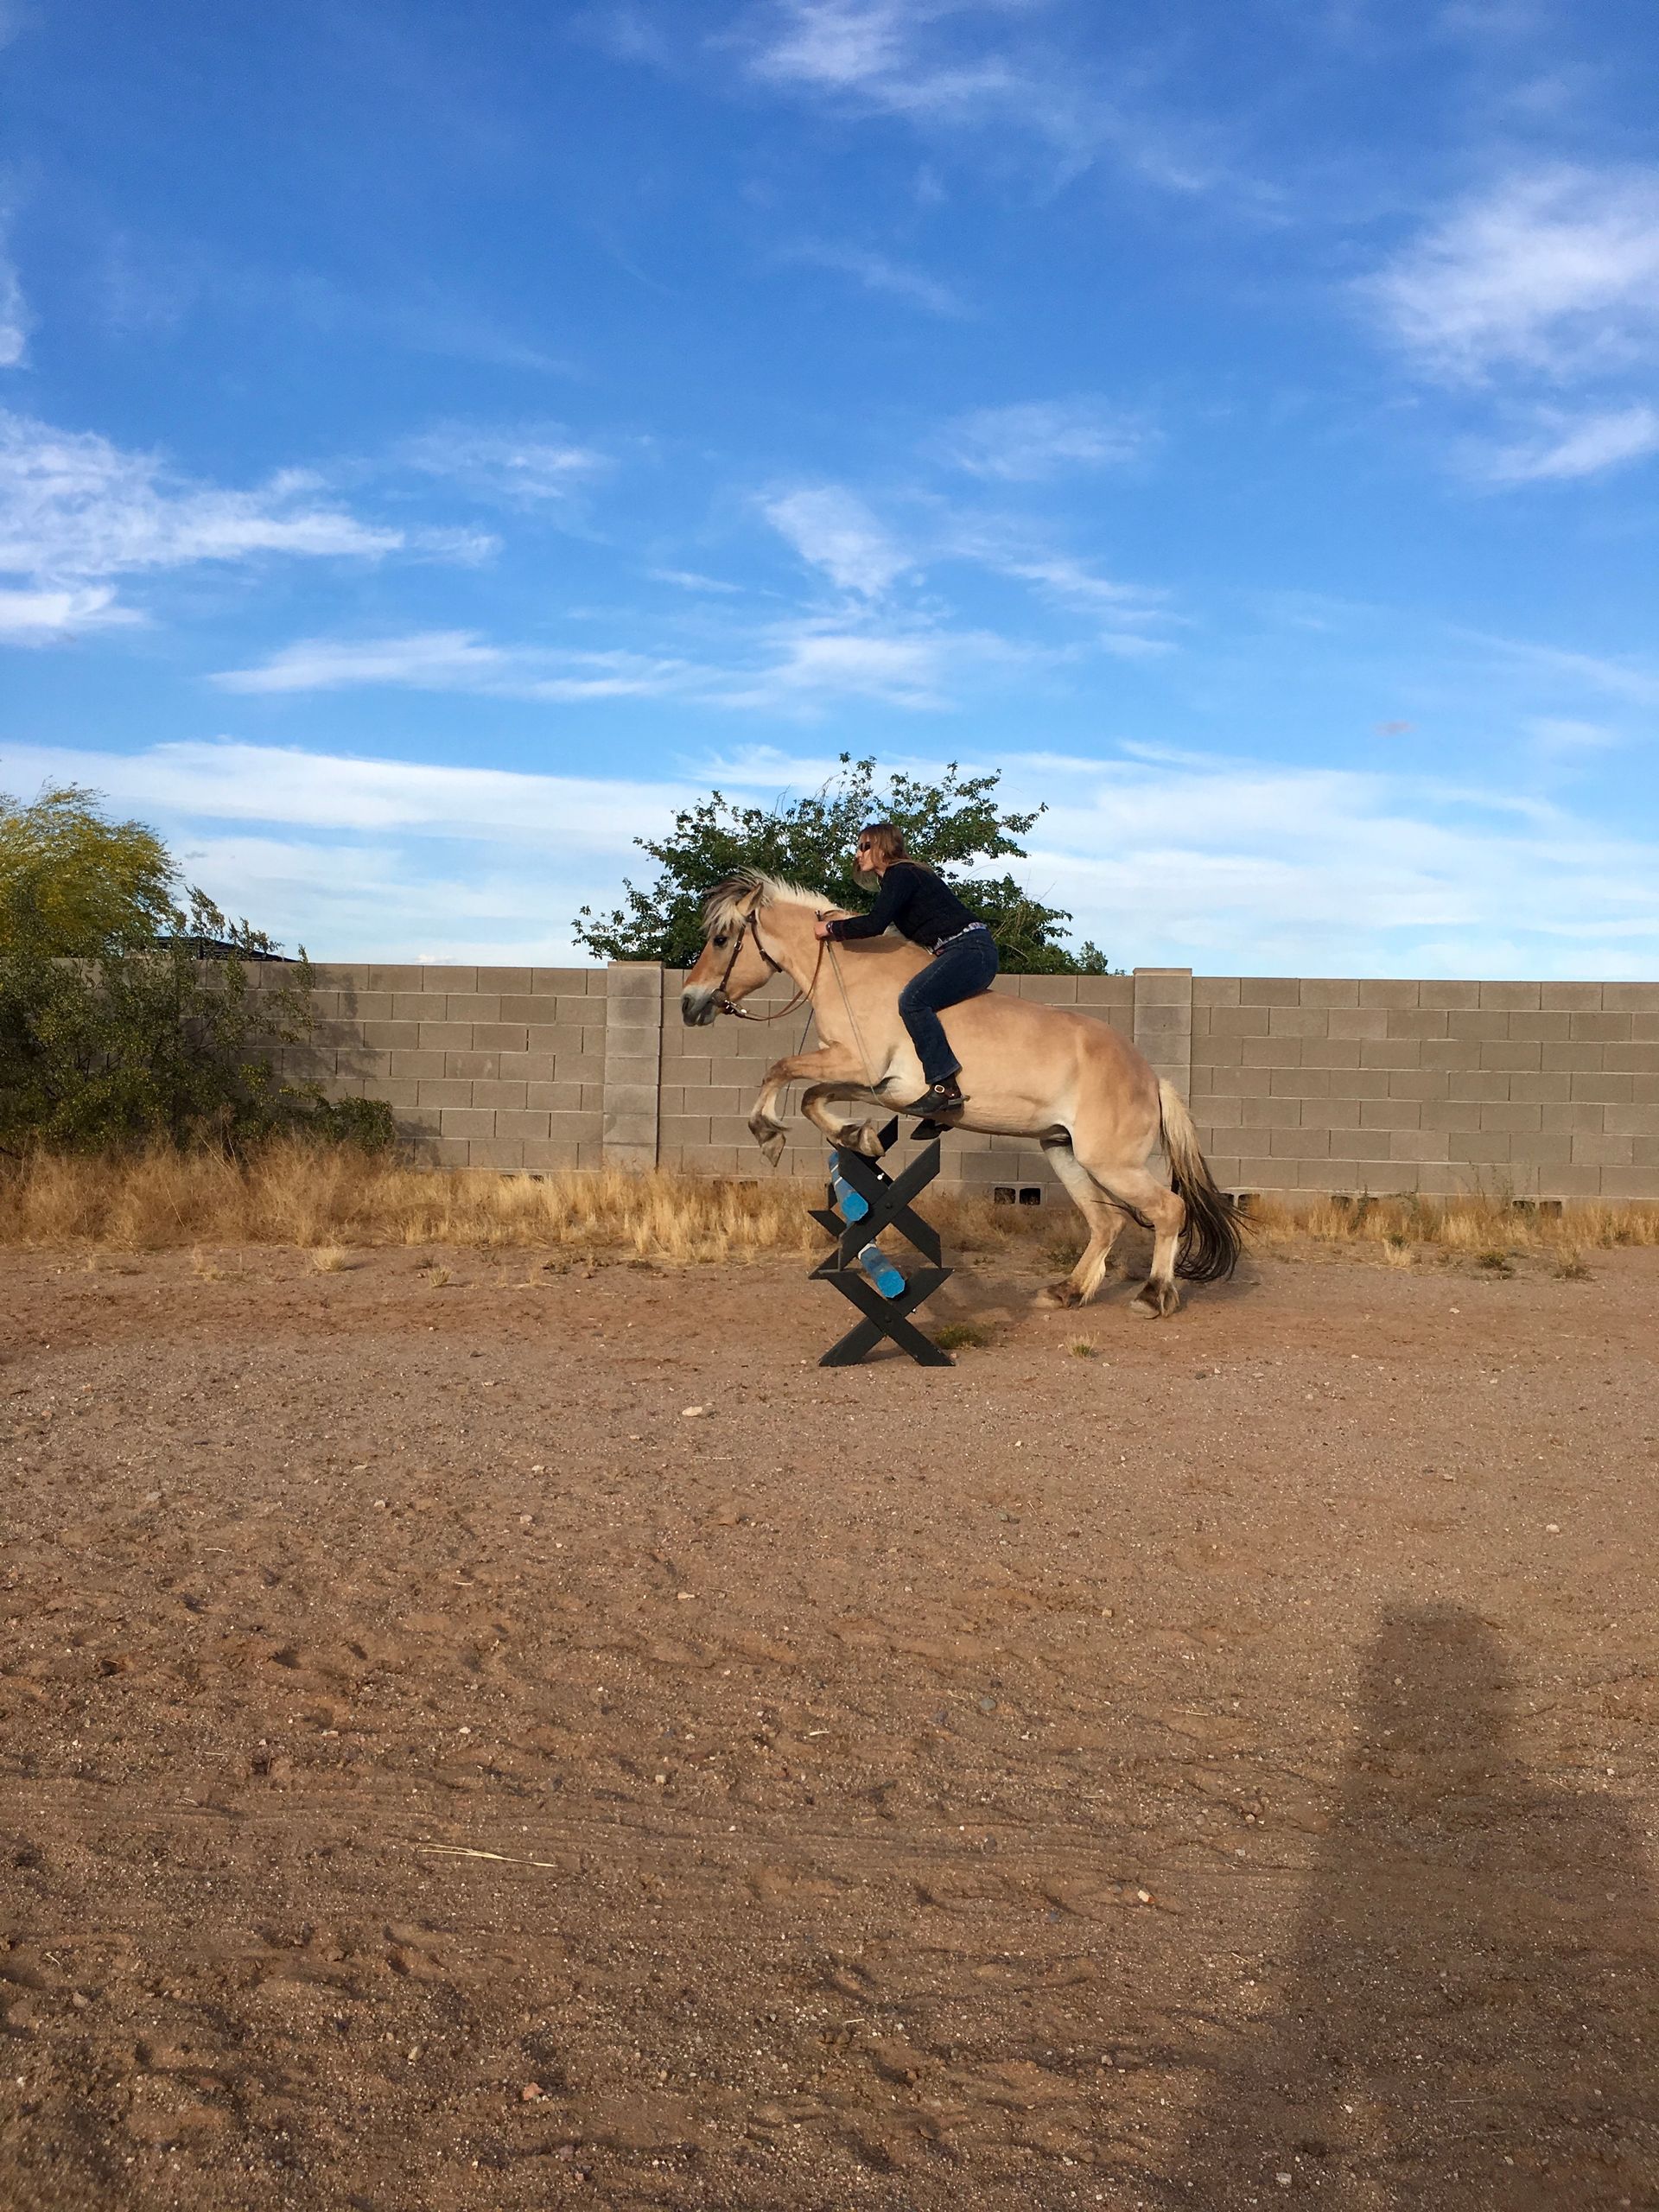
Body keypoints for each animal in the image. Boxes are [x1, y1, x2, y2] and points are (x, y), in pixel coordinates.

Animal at [680, 870, 1242, 1317]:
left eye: (723, 939)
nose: (690, 1004)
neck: (852, 976)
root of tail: (1151, 1078)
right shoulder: (871, 1082)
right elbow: (810, 1096)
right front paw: (860, 1138)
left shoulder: (860, 1066)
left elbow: (779, 1072)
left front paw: (768, 1134)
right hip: (1063, 1150)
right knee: (1106, 1222)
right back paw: (1066, 1293)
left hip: (1111, 1163)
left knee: (1168, 1210)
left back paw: (1153, 1296)